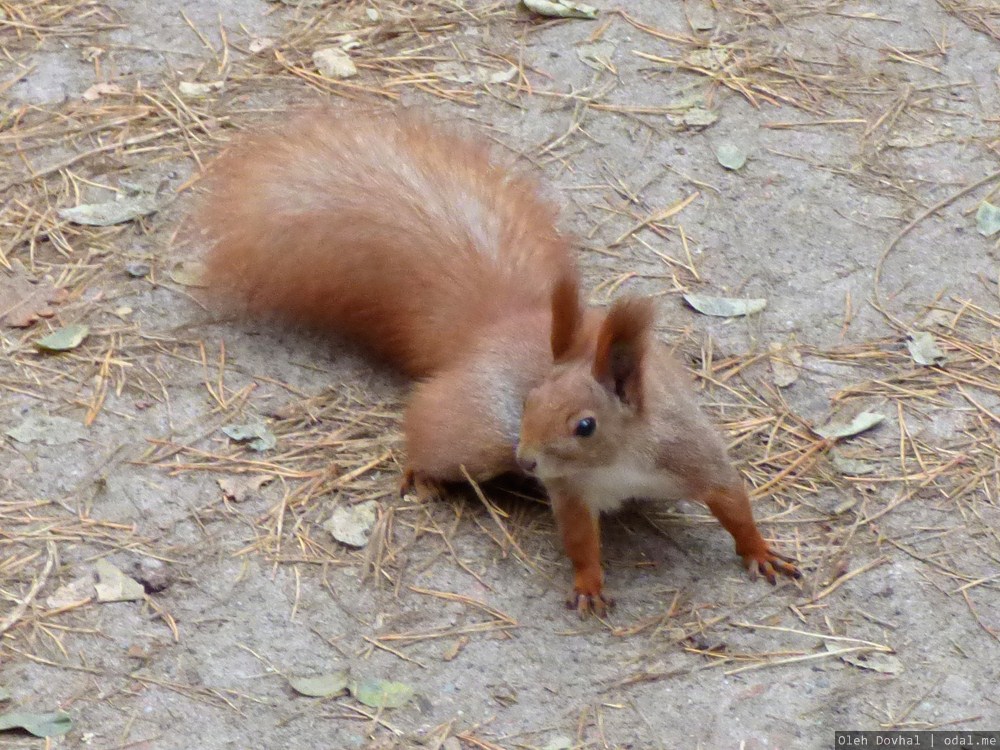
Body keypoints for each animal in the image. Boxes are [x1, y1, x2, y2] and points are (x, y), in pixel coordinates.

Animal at [199, 108, 800, 620]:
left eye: (585, 425)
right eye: (530, 399)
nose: (527, 460)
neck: (619, 460)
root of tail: (492, 327)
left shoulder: (688, 452)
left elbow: (731, 499)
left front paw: (760, 550)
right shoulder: (571, 491)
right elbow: (579, 539)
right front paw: (589, 583)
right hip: (478, 433)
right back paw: (422, 473)